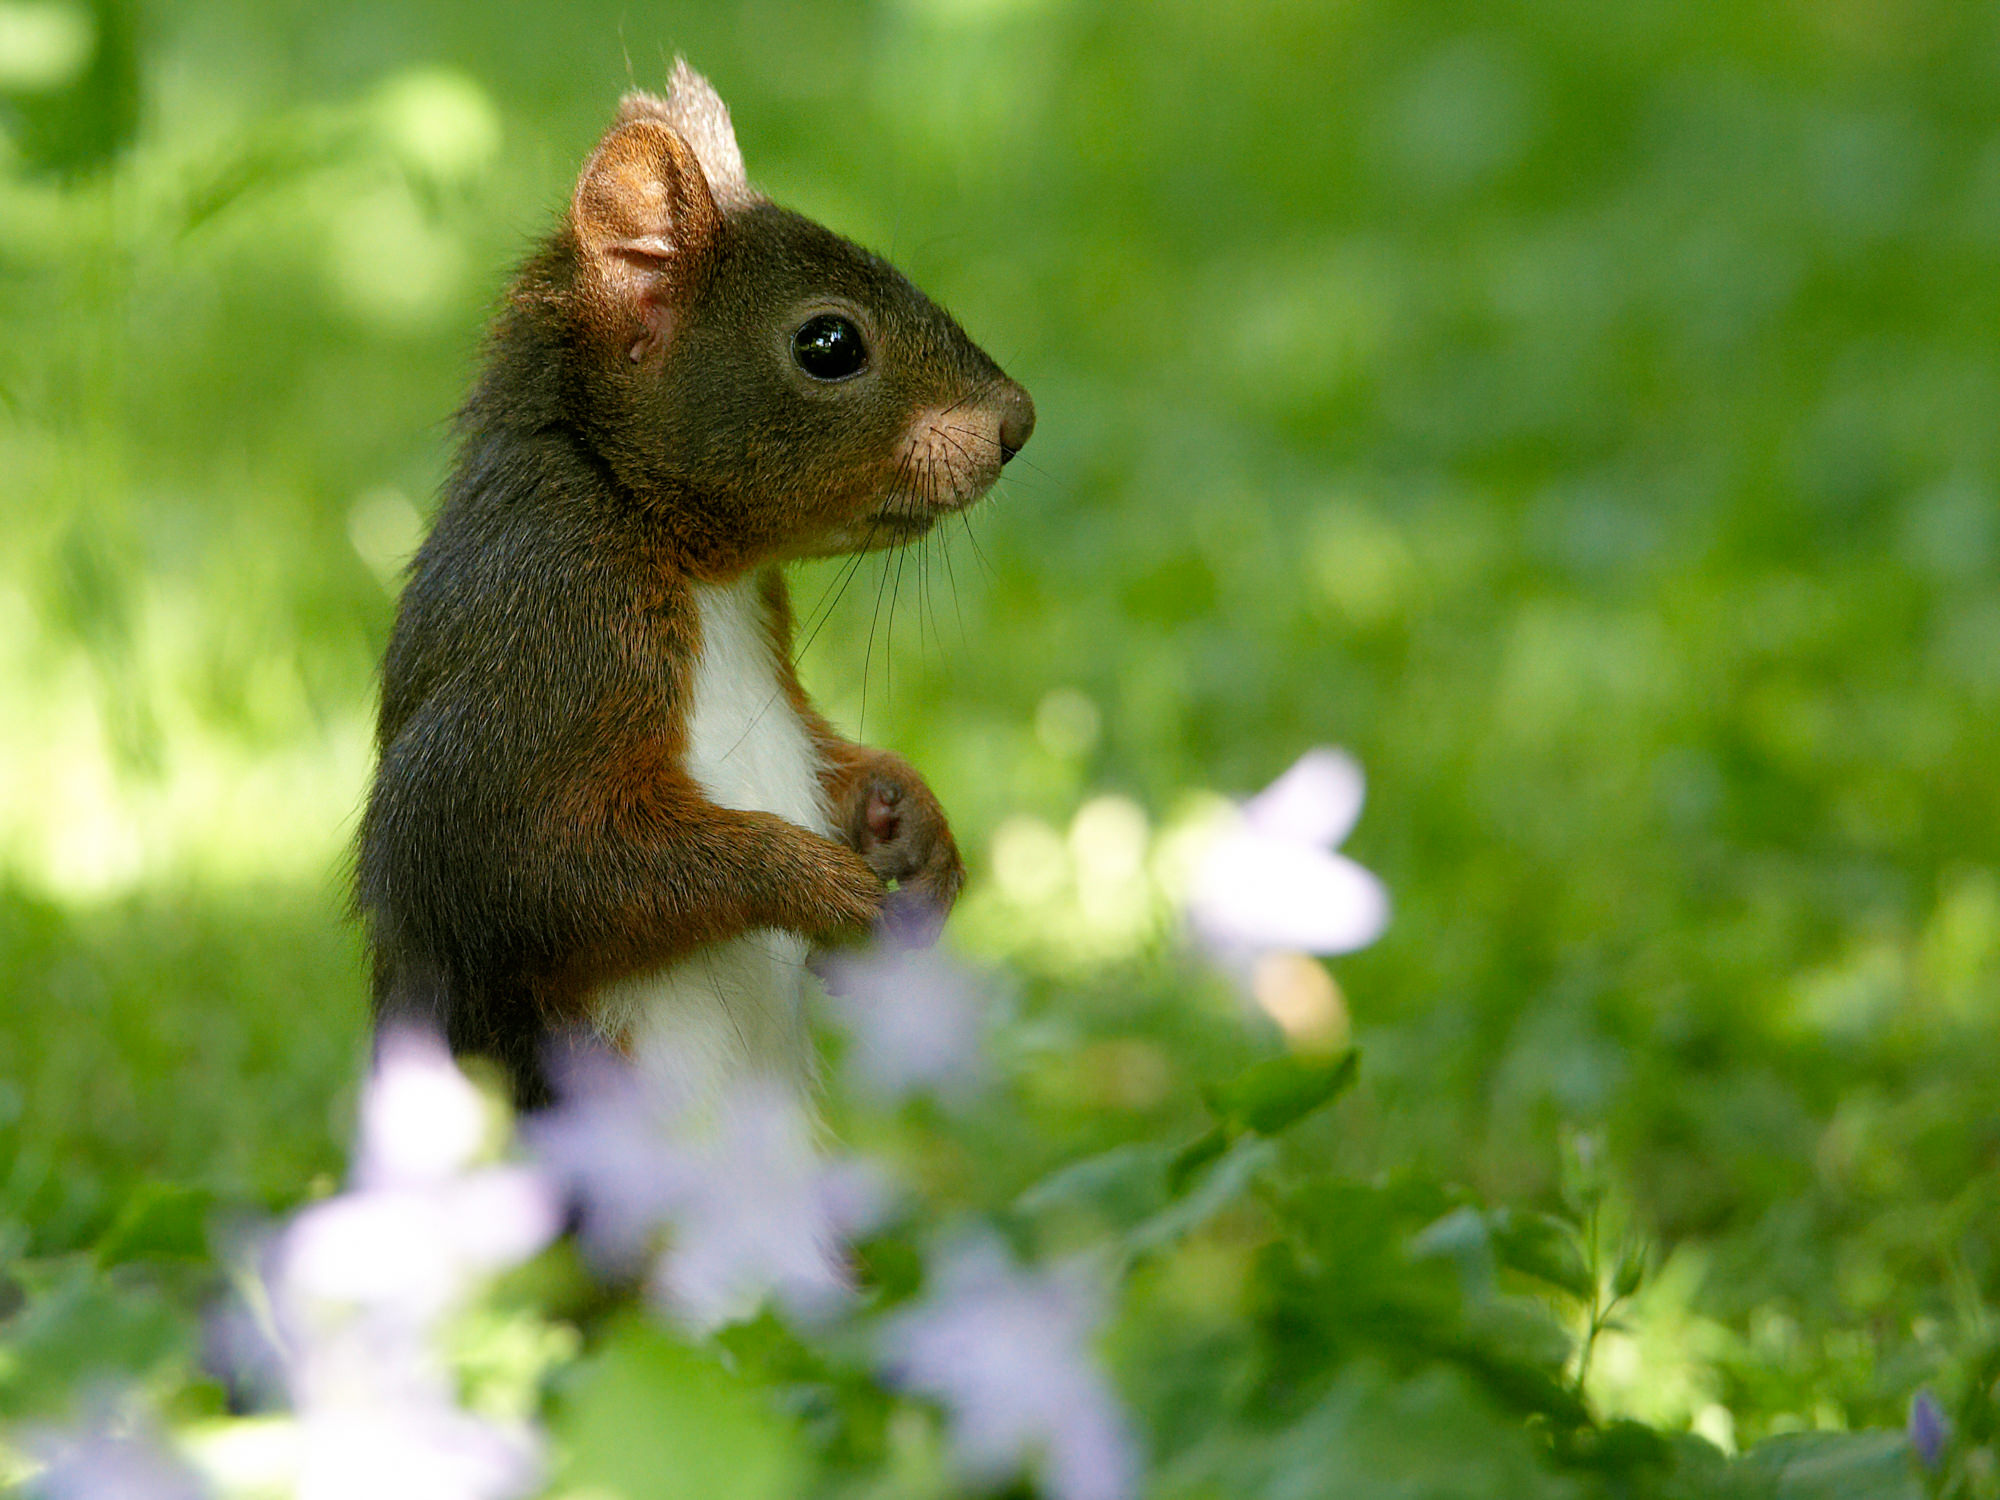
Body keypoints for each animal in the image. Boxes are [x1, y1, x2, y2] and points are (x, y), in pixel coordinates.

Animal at [355, 61, 1033, 1110]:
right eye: (830, 345)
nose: (1018, 422)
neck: (681, 553)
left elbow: (837, 759)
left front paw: (912, 824)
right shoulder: (551, 633)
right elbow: (503, 861)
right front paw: (826, 888)